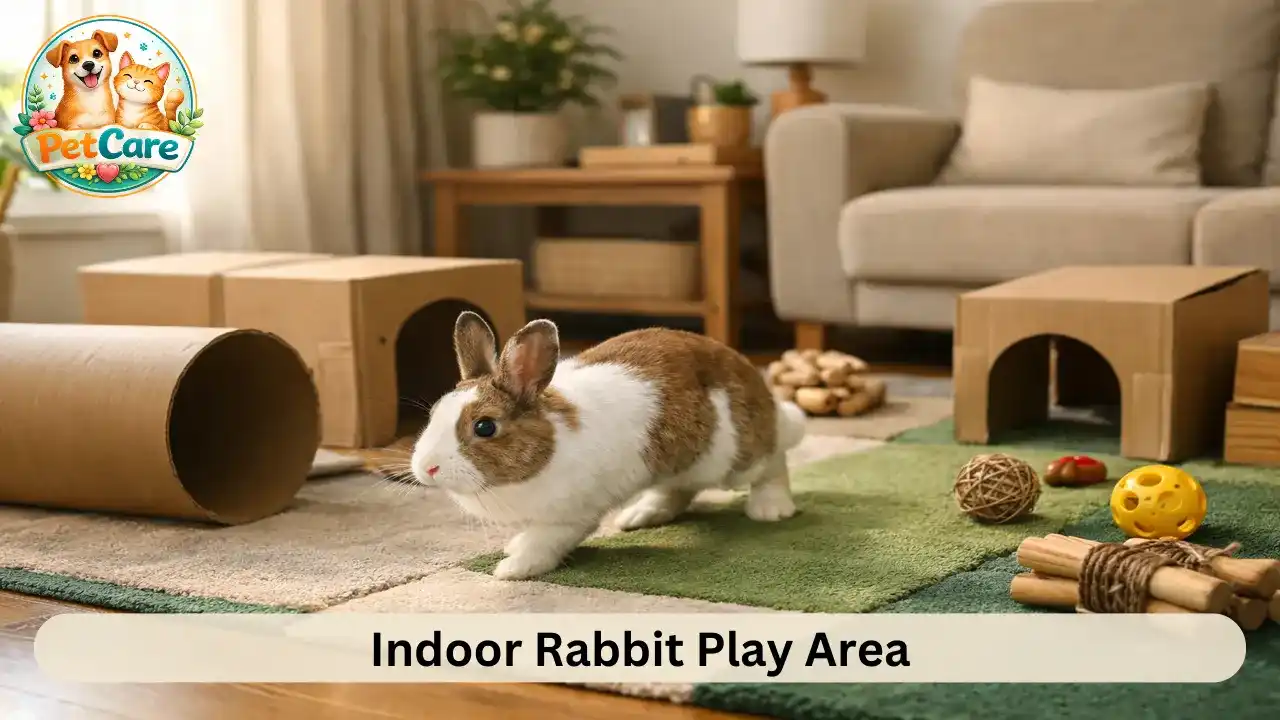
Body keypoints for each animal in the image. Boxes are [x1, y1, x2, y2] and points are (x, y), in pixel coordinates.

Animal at [410, 311, 807, 581]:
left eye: (485, 426)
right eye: (433, 412)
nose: (428, 468)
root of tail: (759, 388)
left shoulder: (570, 516)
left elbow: (544, 543)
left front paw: (513, 568)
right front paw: (513, 547)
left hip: (737, 455)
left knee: (775, 459)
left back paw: (771, 508)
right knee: (678, 490)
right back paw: (641, 515)